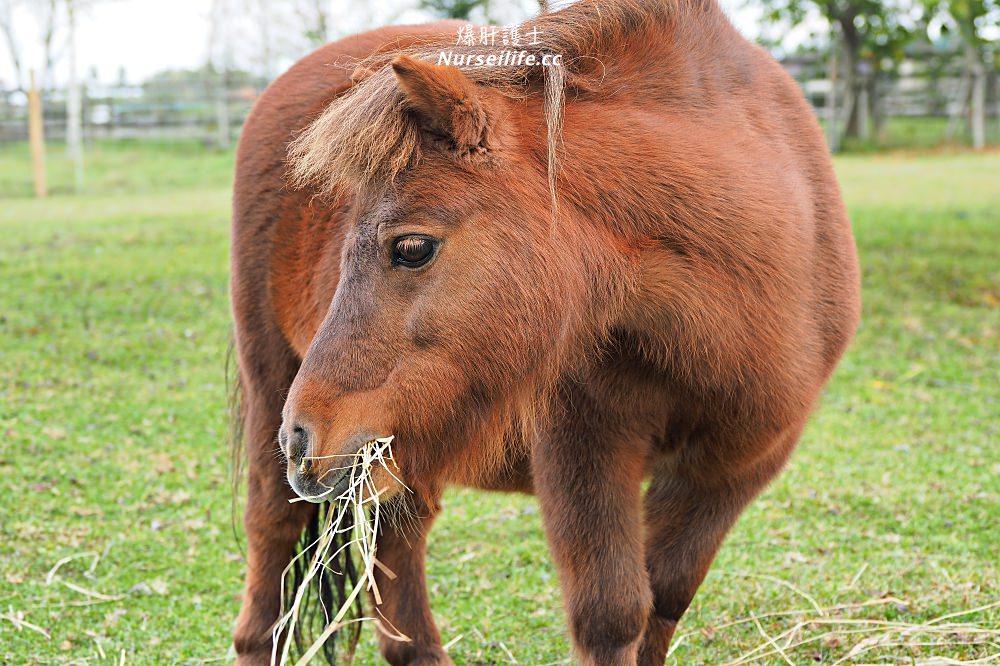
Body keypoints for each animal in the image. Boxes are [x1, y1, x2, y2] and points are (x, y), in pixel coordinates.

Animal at [227, 2, 860, 660]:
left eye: (412, 247)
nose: (303, 435)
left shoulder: (730, 472)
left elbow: (664, 601)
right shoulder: (584, 454)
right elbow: (611, 617)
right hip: (274, 394)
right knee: (269, 541)